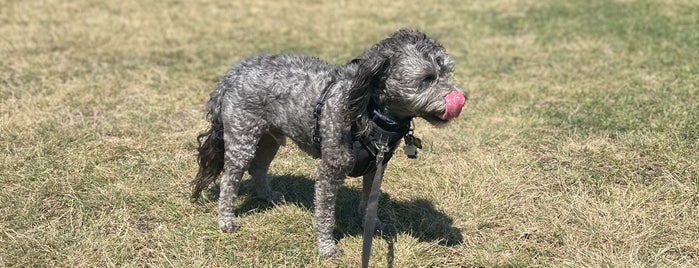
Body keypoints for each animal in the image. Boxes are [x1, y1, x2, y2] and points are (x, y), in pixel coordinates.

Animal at [189, 28, 468, 258]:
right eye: (427, 78)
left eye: (447, 72)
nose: (461, 98)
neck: (368, 110)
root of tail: (230, 74)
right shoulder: (329, 171)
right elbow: (325, 215)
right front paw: (326, 247)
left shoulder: (377, 167)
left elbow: (369, 203)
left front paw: (373, 226)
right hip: (242, 138)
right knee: (230, 179)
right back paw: (226, 221)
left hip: (270, 138)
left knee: (258, 167)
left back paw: (267, 195)